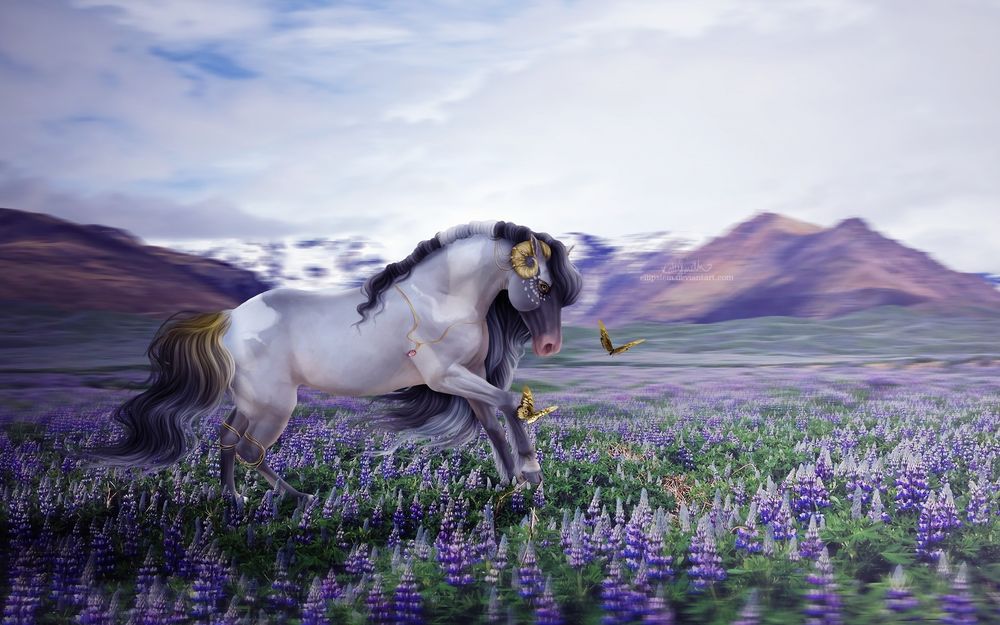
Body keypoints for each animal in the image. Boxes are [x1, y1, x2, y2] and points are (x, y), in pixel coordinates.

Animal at [81, 220, 583, 505]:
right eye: (542, 286)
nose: (549, 346)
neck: (441, 296)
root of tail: (230, 319)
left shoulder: (471, 375)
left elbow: (494, 423)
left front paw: (512, 481)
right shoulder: (447, 376)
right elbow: (508, 402)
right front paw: (531, 473)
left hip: (253, 402)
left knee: (226, 440)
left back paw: (233, 501)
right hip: (275, 404)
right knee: (248, 450)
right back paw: (299, 498)